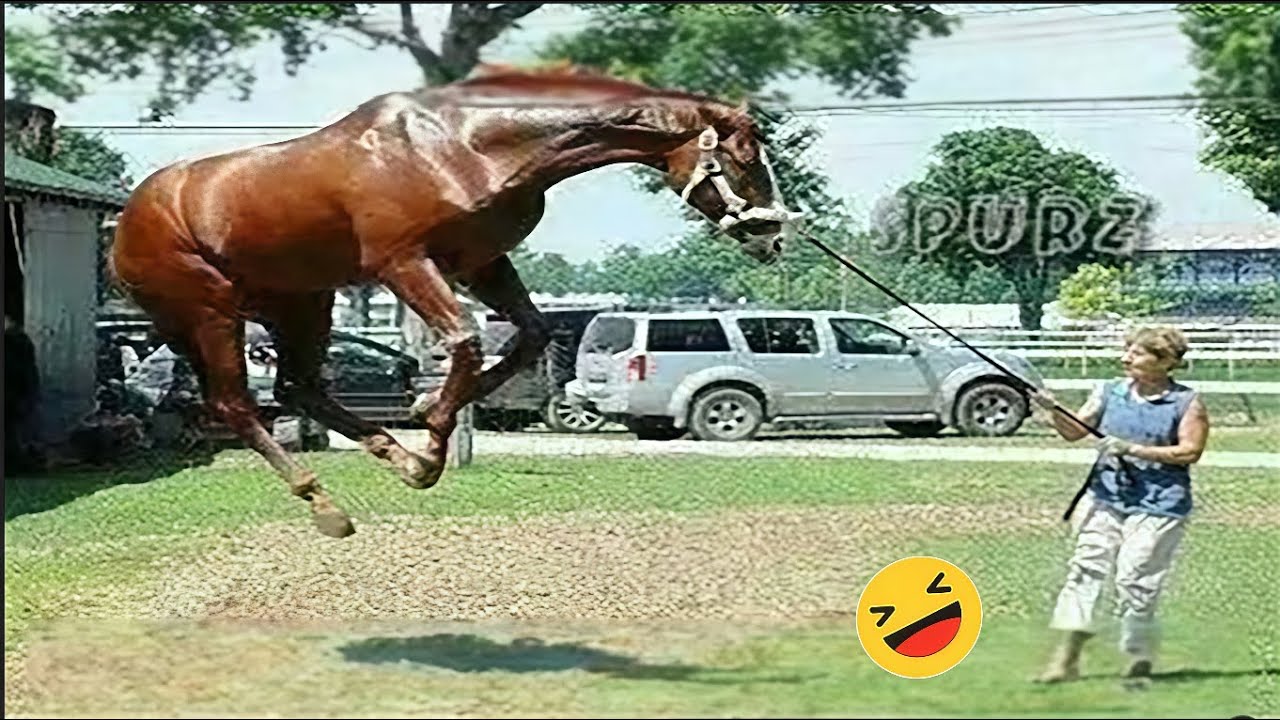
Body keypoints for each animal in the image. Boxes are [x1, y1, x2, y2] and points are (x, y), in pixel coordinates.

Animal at [109, 63, 804, 538]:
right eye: (745, 157)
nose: (773, 236)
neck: (463, 143)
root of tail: (128, 222)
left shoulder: (481, 263)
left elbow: (529, 335)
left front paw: (424, 417)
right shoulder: (404, 263)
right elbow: (466, 340)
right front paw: (434, 429)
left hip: (302, 301)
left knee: (297, 388)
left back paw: (396, 459)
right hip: (212, 312)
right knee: (236, 404)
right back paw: (326, 503)